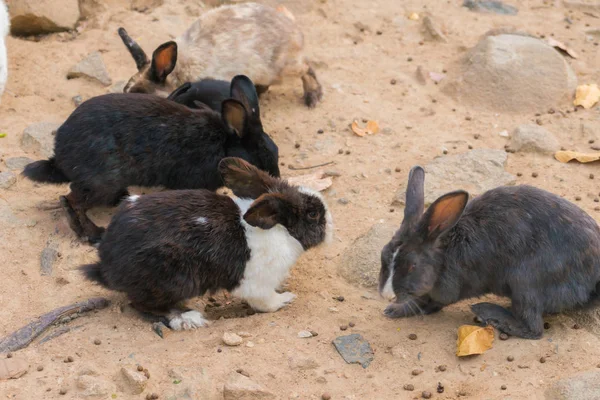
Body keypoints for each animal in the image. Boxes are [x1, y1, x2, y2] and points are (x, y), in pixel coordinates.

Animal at [21, 74, 278, 244]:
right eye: (259, 159)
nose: (274, 182)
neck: (224, 146)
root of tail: (60, 157)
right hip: (101, 182)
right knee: (72, 201)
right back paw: (93, 234)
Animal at [78, 158, 332, 330]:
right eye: (312, 214)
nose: (331, 224)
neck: (281, 230)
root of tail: (106, 268)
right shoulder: (258, 283)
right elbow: (265, 302)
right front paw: (285, 299)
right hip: (172, 277)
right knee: (142, 305)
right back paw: (188, 317)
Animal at [118, 1, 324, 107]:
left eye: (142, 96)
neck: (178, 76)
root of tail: (288, 21)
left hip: (284, 67)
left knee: (307, 68)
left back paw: (313, 97)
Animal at [380, 166, 600, 340]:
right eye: (383, 255)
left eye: (412, 265)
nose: (386, 296)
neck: (442, 255)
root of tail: (591, 286)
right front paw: (392, 310)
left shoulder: (447, 290)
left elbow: (426, 302)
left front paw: (395, 310)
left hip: (525, 283)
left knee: (533, 328)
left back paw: (488, 313)